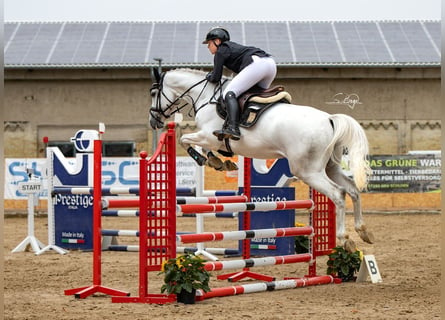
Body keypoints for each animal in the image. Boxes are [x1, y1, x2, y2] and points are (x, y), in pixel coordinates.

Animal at [148, 69, 372, 251]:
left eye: (153, 94)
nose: (153, 121)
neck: (204, 96)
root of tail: (329, 119)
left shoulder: (208, 135)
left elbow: (184, 140)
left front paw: (207, 160)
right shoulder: (211, 139)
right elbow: (205, 148)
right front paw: (220, 162)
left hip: (308, 171)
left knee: (338, 194)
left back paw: (345, 239)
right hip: (329, 167)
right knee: (353, 190)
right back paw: (363, 231)